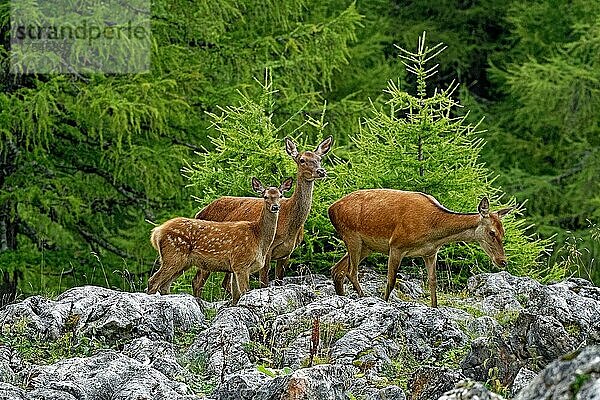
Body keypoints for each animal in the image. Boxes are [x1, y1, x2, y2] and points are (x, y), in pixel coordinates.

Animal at [148, 177, 292, 304]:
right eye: (265, 196)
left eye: (281, 195)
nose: (275, 207)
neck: (258, 237)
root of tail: (157, 232)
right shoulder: (241, 264)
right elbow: (244, 292)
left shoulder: (235, 268)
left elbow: (236, 297)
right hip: (173, 255)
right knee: (153, 281)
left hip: (183, 262)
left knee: (165, 285)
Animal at [192, 136, 332, 296]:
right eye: (302, 160)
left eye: (319, 159)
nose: (321, 171)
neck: (290, 225)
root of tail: (199, 212)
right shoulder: (267, 251)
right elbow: (264, 283)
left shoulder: (287, 253)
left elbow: (279, 281)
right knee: (197, 281)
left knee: (224, 283)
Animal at [328, 189, 510, 308]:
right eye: (492, 232)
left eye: (503, 232)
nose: (502, 261)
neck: (432, 232)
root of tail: (331, 209)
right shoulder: (396, 245)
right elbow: (391, 281)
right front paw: (385, 303)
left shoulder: (430, 253)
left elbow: (433, 281)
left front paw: (435, 308)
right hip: (352, 236)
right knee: (351, 272)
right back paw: (363, 297)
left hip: (366, 246)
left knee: (337, 270)